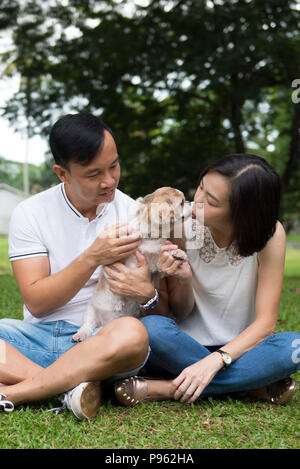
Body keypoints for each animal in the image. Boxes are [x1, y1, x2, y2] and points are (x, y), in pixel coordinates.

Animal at [71, 186, 191, 340]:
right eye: (181, 203)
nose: (189, 202)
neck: (149, 238)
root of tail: (105, 324)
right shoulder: (113, 262)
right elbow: (113, 281)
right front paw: (118, 301)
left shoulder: (154, 262)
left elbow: (163, 255)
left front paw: (178, 253)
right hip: (91, 311)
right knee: (88, 324)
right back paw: (80, 334)